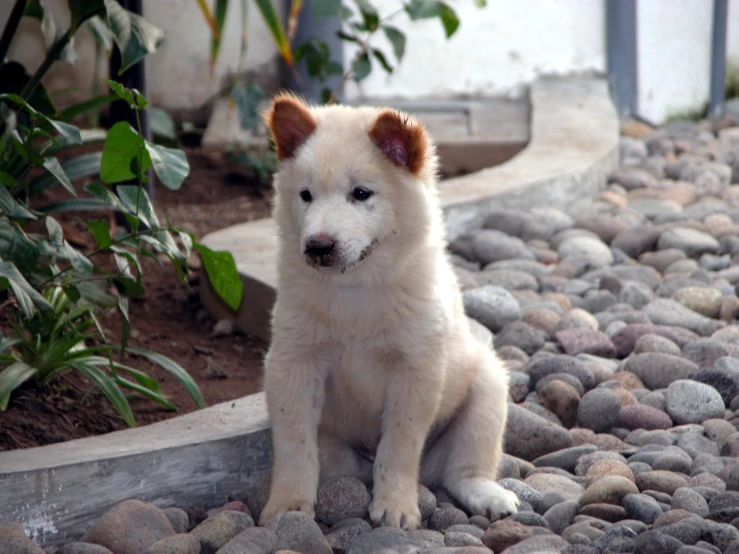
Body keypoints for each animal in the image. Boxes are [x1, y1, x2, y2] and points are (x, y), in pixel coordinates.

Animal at [260, 92, 520, 528]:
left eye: (361, 194)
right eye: (306, 195)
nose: (317, 246)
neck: (355, 289)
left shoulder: (416, 369)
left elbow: (399, 445)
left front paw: (396, 507)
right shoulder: (292, 362)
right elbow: (295, 444)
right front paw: (287, 506)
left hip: (488, 386)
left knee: (464, 468)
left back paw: (487, 494)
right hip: (338, 445)